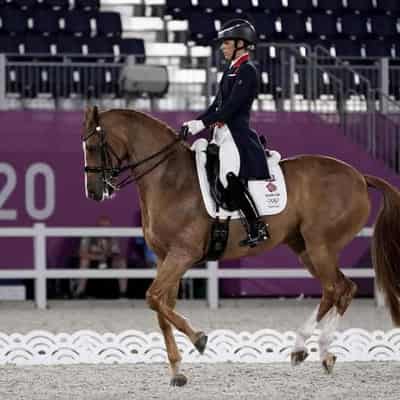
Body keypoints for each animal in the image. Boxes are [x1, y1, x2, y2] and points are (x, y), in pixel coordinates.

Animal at [80, 105, 400, 384]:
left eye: (94, 145)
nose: (94, 193)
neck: (169, 179)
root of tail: (359, 177)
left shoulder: (182, 255)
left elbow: (153, 298)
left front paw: (199, 339)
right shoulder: (164, 257)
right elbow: (161, 309)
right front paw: (178, 372)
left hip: (320, 245)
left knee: (335, 288)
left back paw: (304, 348)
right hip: (305, 248)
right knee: (343, 289)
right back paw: (320, 353)